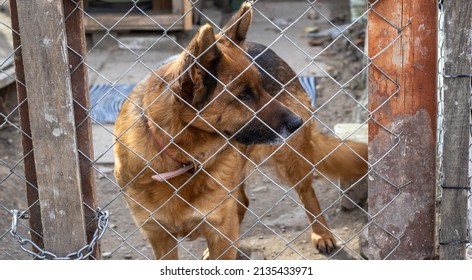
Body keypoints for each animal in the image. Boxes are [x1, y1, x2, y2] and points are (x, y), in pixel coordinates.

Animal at [113, 2, 366, 260]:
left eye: (262, 86)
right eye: (243, 94)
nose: (298, 122)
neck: (182, 158)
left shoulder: (221, 231)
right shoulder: (160, 237)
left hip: (290, 160)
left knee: (307, 193)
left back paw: (322, 234)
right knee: (242, 202)